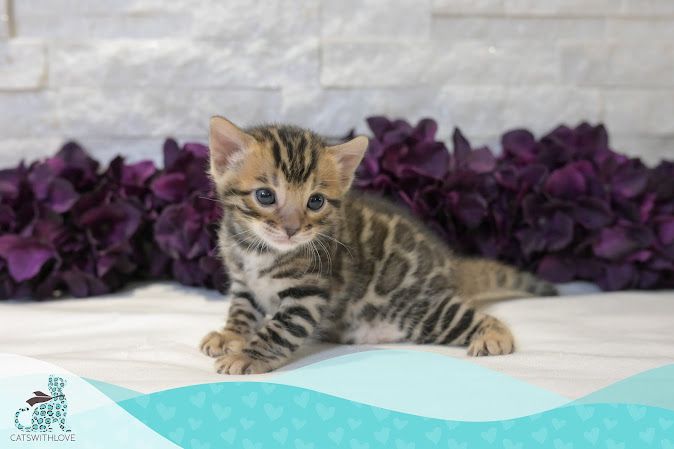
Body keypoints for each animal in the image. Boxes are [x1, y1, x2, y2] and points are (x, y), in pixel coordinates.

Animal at [201, 116, 556, 374]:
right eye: (265, 196)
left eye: (315, 201)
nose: (292, 229)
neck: (258, 251)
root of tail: (451, 265)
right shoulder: (243, 283)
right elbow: (241, 311)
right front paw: (230, 335)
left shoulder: (309, 295)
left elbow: (279, 329)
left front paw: (249, 356)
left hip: (424, 313)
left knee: (474, 317)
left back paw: (495, 335)